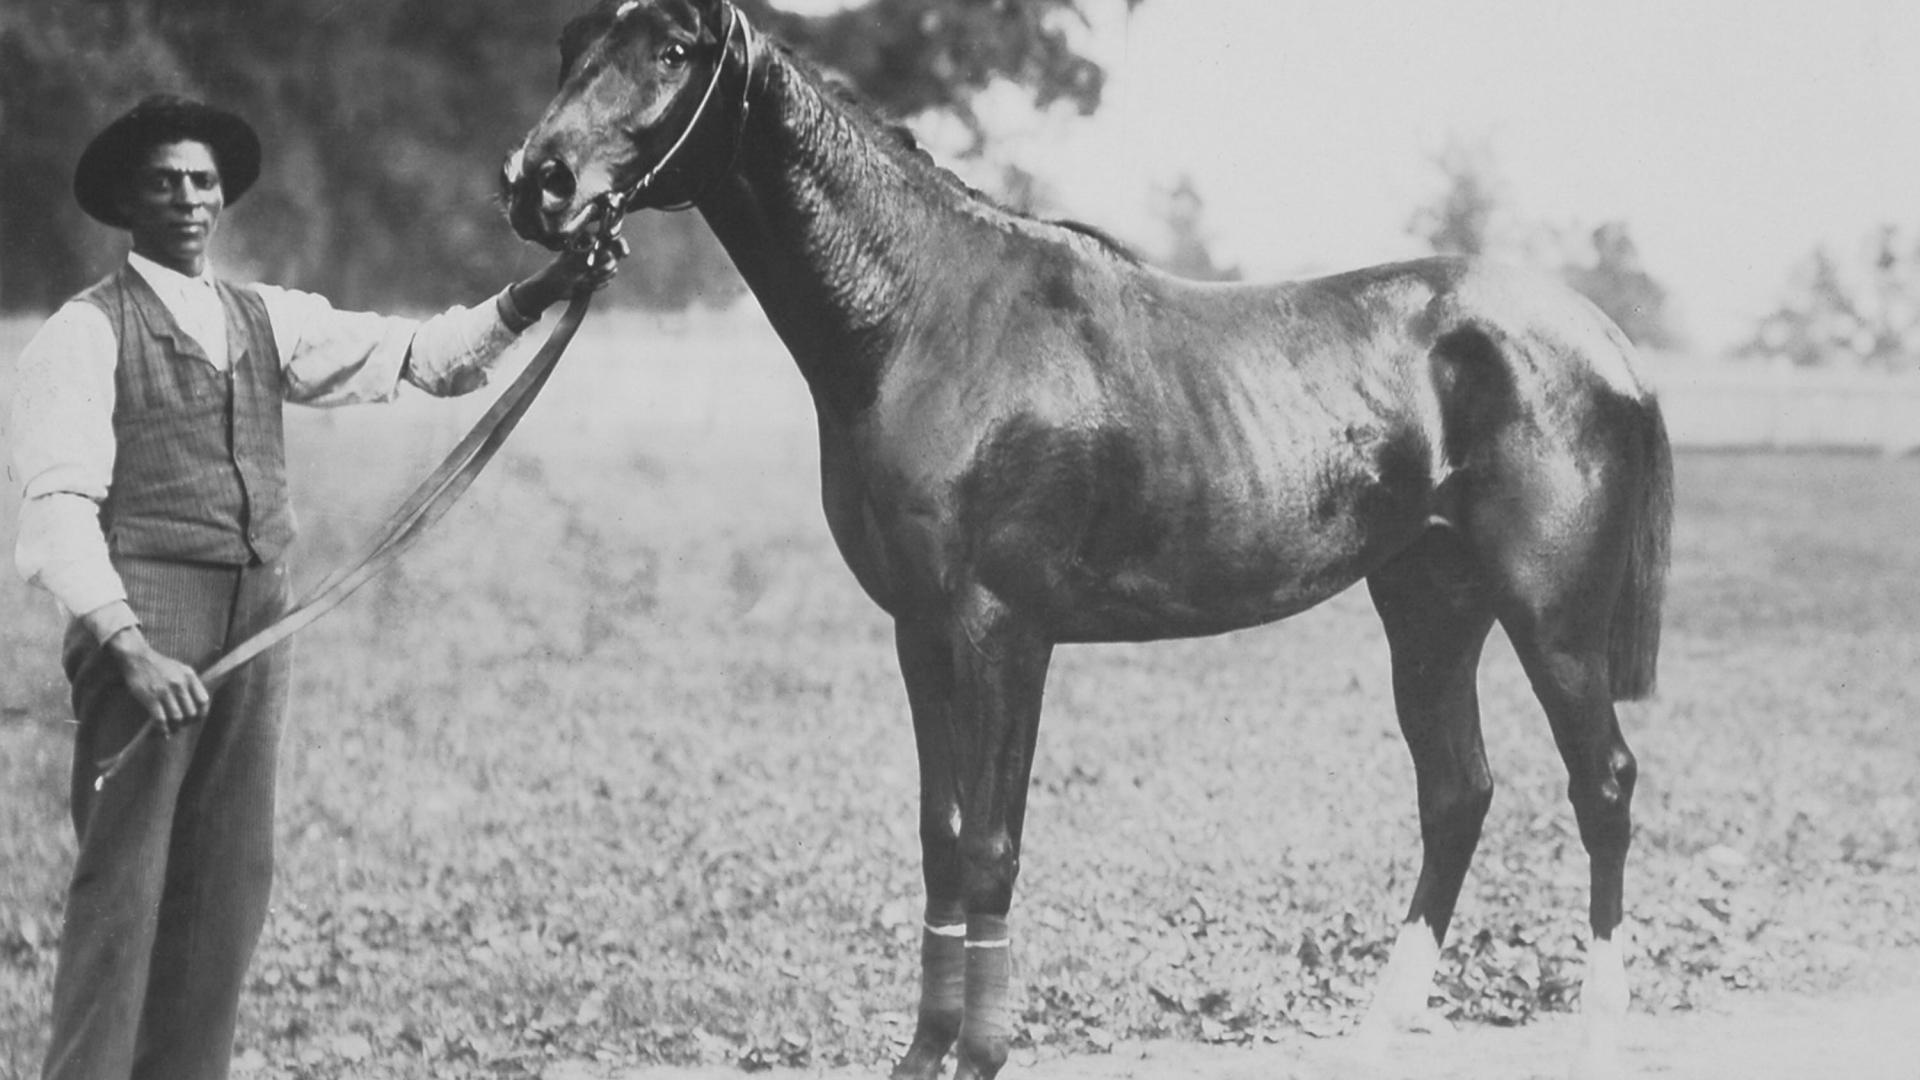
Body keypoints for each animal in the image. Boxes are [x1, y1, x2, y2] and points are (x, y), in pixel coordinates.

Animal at [502, 3, 1672, 1078]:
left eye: (672, 50)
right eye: (569, 45)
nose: (536, 181)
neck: (928, 320)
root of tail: (1607, 342)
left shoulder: (1005, 632)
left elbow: (993, 848)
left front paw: (981, 1055)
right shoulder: (920, 634)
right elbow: (941, 840)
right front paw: (924, 1053)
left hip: (1549, 617)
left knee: (1603, 783)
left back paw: (1603, 1026)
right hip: (1430, 605)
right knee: (1457, 791)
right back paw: (1380, 1029)